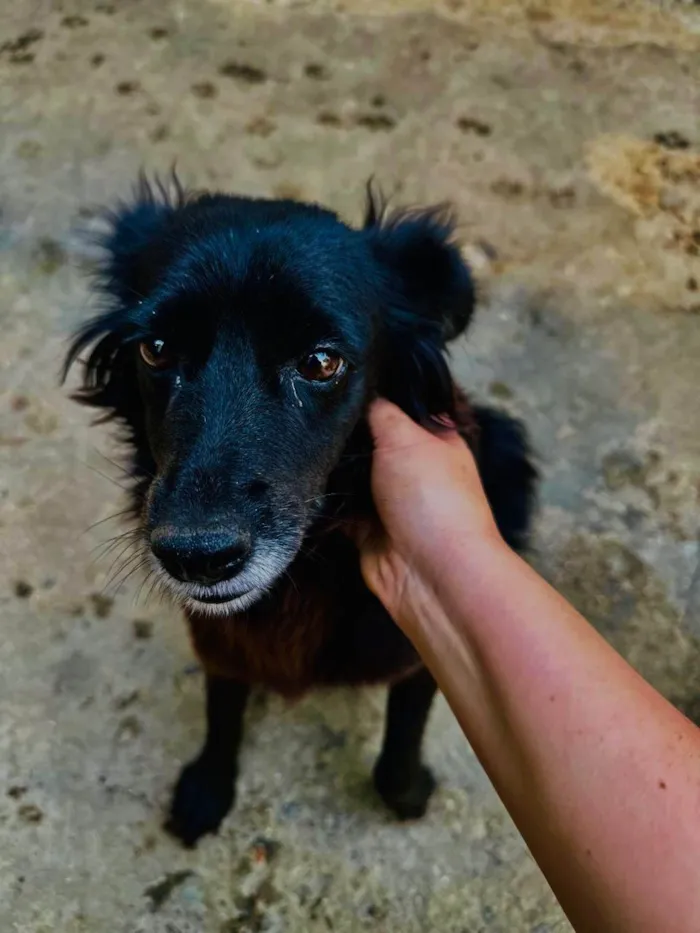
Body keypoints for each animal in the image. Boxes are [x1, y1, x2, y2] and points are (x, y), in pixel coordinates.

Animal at [65, 178, 536, 848]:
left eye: (320, 362)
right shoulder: (222, 635)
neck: (308, 573)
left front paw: (408, 790)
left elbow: (400, 748)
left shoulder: (424, 652)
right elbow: (223, 701)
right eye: (155, 350)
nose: (196, 558)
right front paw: (209, 784)